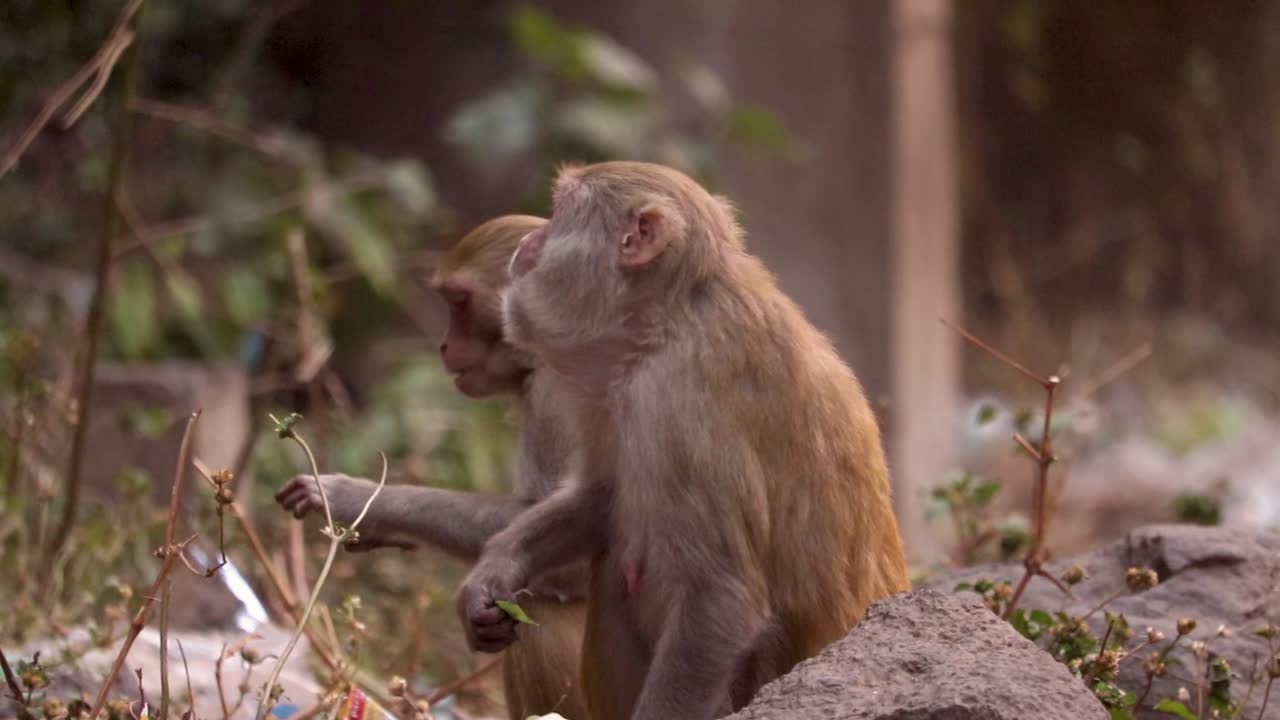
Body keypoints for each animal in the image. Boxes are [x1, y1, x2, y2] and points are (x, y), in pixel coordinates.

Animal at [274, 215, 591, 720]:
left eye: (460, 302)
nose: (443, 345)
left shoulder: (556, 396)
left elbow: (579, 563)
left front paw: (358, 499)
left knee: (539, 608)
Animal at [454, 162, 911, 720]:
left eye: (560, 211)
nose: (528, 243)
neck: (669, 319)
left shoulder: (682, 400)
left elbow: (720, 600)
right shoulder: (613, 392)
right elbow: (600, 498)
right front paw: (494, 572)